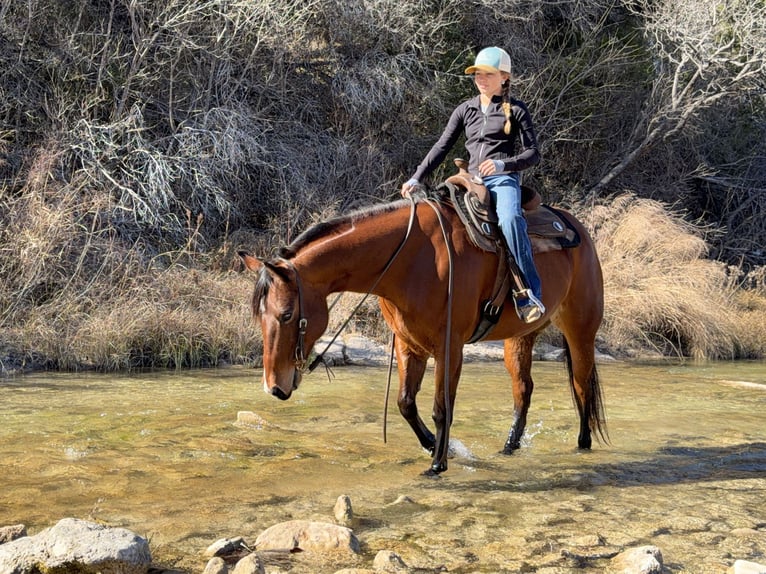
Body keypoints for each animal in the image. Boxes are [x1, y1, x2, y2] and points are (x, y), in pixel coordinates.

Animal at [239, 194, 607, 476]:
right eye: (259, 317)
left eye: (287, 315)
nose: (274, 387)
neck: (410, 260)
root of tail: (577, 229)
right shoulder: (408, 345)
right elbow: (405, 404)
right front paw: (435, 447)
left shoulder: (449, 348)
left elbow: (442, 407)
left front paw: (437, 465)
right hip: (519, 337)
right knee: (523, 389)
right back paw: (509, 447)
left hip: (580, 330)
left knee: (581, 385)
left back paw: (583, 445)